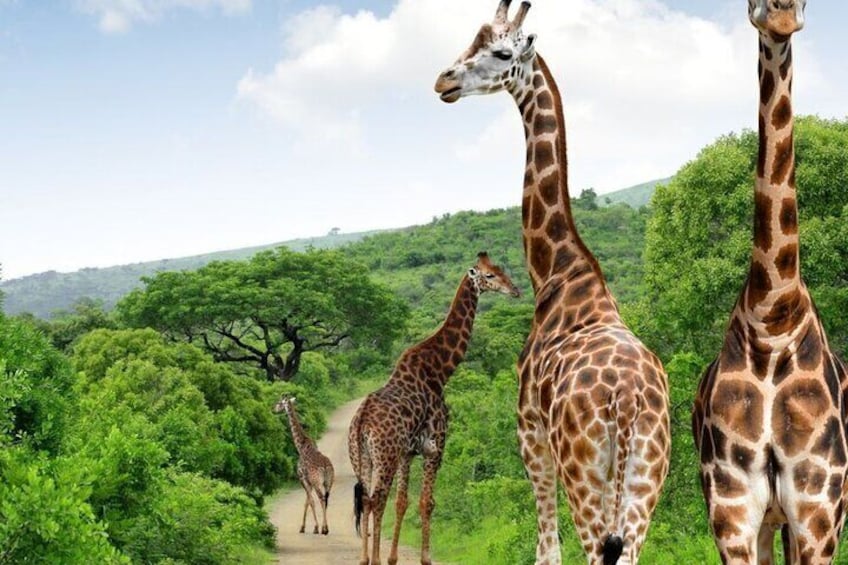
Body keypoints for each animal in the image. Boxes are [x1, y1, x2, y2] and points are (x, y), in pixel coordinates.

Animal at [273, 395, 335, 536]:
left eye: (279, 403)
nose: (273, 409)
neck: (300, 446)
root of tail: (325, 467)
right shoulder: (309, 482)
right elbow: (307, 502)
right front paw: (303, 527)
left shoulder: (303, 478)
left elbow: (310, 501)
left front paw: (314, 527)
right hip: (328, 482)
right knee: (326, 499)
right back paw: (326, 527)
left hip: (317, 482)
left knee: (321, 499)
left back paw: (324, 529)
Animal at [348, 252, 520, 565]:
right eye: (489, 275)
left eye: (500, 268)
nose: (515, 290)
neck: (440, 370)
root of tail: (361, 422)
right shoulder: (435, 447)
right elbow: (426, 502)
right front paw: (424, 559)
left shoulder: (408, 453)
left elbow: (403, 502)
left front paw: (393, 558)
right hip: (385, 457)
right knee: (377, 500)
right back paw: (374, 559)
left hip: (362, 458)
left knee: (366, 500)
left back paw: (366, 558)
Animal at [435, 3, 670, 564]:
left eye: (501, 52)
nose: (443, 81)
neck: (557, 271)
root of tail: (627, 402)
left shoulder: (530, 433)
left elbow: (546, 549)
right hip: (646, 478)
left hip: (581, 469)